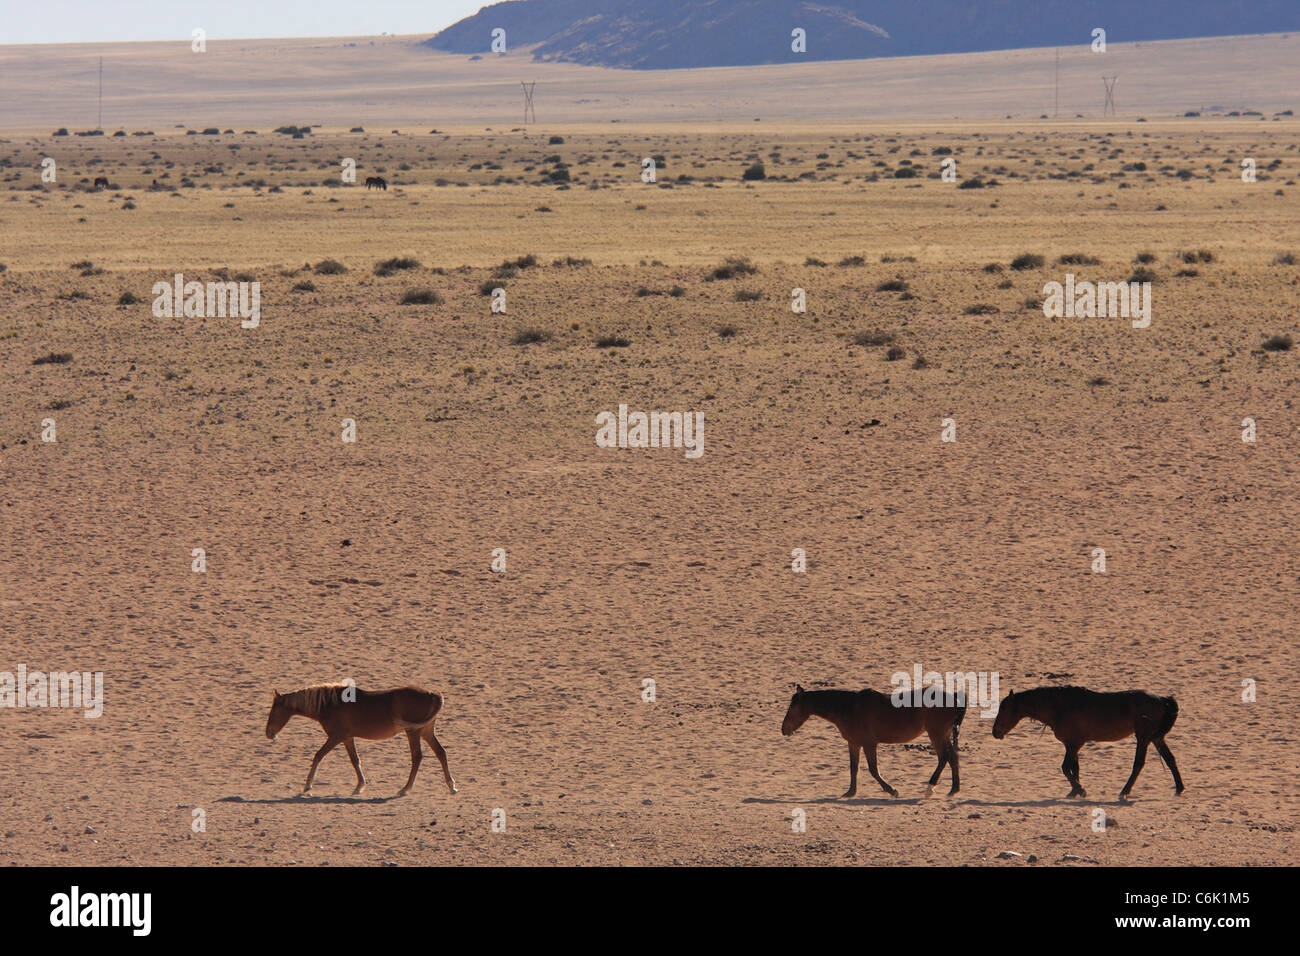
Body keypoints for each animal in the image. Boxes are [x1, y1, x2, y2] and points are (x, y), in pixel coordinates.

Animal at [263, 686, 457, 796]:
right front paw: (359, 786)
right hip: (425, 731)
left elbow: (318, 756)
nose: (268, 733)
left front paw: (308, 786)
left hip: (414, 732)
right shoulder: (347, 738)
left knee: (417, 757)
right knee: (441, 753)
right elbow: (355, 760)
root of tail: (433, 694)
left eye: (274, 709)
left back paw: (405, 788)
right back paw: (451, 786)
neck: (329, 704)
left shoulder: (336, 737)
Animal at [780, 686, 967, 796]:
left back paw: (930, 787)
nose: (784, 729)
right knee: (952, 757)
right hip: (942, 734)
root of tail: (954, 697)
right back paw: (954, 789)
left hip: (936, 734)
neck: (850, 708)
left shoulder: (869, 744)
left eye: (793, 707)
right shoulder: (854, 743)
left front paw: (891, 790)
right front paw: (850, 792)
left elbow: (873, 769)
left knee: (944, 757)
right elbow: (853, 768)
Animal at [987, 686, 1185, 801]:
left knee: (1139, 764)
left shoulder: (1074, 744)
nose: (995, 732)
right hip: (1156, 738)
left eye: (1004, 708)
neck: (1060, 706)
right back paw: (1179, 788)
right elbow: (1074, 768)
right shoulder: (1072, 745)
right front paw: (1074, 791)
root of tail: (1162, 699)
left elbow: (1065, 768)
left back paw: (1124, 791)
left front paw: (1080, 790)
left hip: (1143, 737)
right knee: (1170, 759)